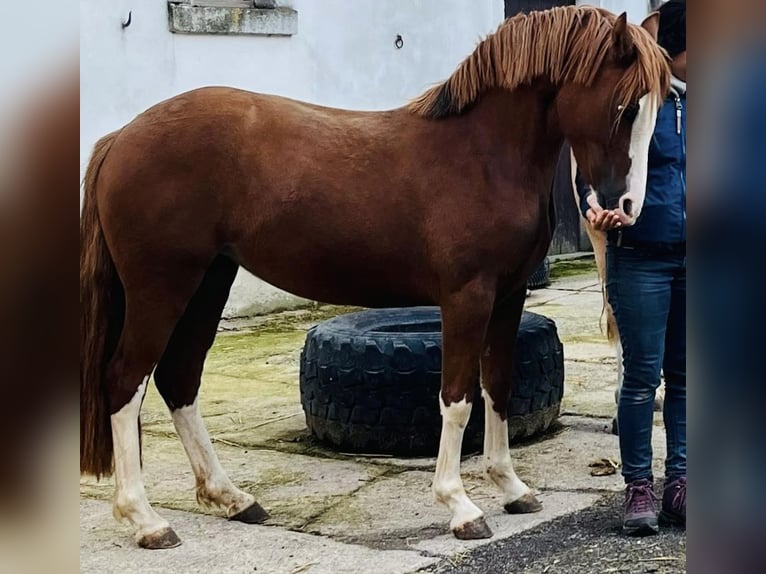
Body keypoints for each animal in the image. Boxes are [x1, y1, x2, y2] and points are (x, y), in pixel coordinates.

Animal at [81, 6, 672, 552]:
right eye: (624, 107)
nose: (626, 208)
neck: (482, 154)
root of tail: (120, 137)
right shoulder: (467, 298)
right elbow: (457, 399)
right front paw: (460, 506)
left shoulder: (508, 298)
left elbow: (498, 389)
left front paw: (511, 488)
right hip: (162, 287)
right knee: (125, 381)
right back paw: (147, 520)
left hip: (208, 282)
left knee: (178, 380)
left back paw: (232, 498)